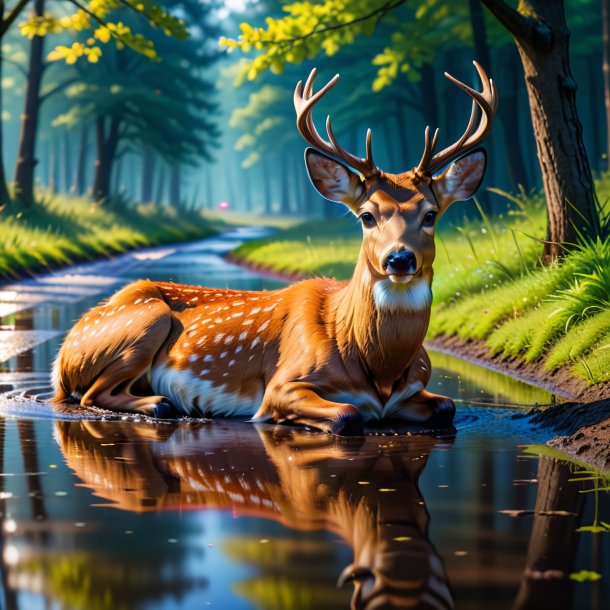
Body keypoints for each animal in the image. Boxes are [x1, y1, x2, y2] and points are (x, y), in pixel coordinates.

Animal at [52, 60, 496, 432]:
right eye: (367, 215)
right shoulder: (282, 385)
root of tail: (62, 356)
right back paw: (161, 403)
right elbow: (348, 414)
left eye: (430, 214)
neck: (379, 368)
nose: (399, 258)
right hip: (144, 322)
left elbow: (447, 406)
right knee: (91, 394)